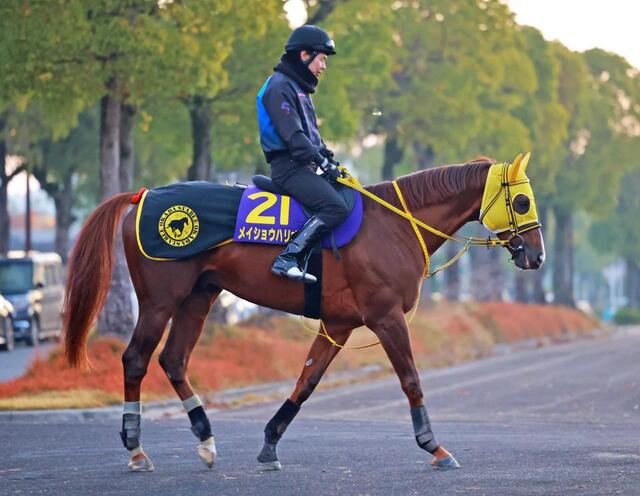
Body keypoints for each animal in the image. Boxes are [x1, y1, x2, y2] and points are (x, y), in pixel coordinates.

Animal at [62, 155, 545, 472]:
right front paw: (434, 446)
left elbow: (306, 381)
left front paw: (270, 442)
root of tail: (143, 194)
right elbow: (410, 379)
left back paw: (206, 438)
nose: (536, 256)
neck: (393, 225)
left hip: (200, 295)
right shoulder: (386, 317)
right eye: (522, 202)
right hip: (161, 300)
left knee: (174, 359)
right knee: (136, 359)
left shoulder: (339, 324)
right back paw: (135, 449)